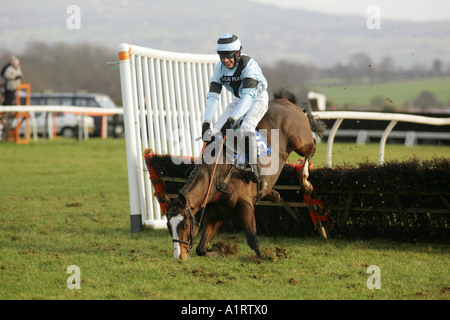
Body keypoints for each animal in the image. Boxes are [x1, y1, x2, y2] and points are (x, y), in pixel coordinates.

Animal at [167, 90, 326, 260]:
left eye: (185, 224)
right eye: (169, 226)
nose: (179, 256)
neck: (217, 176)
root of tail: (286, 101)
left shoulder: (245, 205)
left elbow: (252, 239)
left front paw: (266, 257)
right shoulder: (218, 211)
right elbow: (201, 248)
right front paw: (216, 251)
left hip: (300, 142)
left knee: (311, 149)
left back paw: (305, 183)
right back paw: (273, 194)